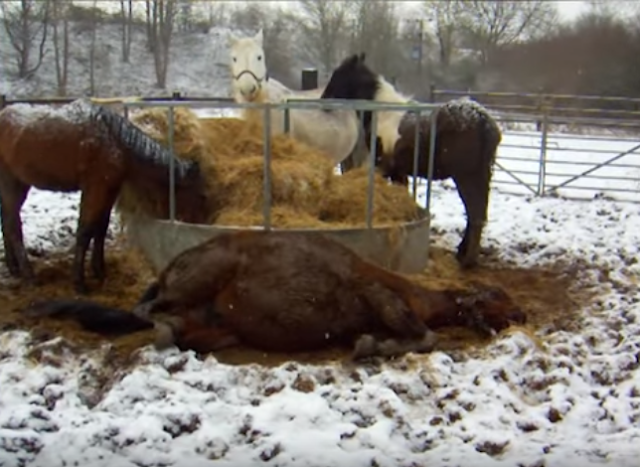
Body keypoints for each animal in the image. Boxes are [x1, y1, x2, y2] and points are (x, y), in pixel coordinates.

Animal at [0, 99, 209, 294]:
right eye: (200, 194)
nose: (199, 222)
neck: (115, 141)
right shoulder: (95, 189)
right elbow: (85, 232)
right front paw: (79, 282)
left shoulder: (109, 190)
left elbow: (101, 228)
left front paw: (99, 271)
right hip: (11, 183)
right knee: (13, 226)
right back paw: (28, 275)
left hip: (20, 185)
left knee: (7, 221)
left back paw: (14, 268)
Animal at [23, 230, 524, 358]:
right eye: (496, 296)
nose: (521, 315)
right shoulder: (382, 298)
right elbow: (424, 337)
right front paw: (371, 345)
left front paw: (370, 343)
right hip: (200, 276)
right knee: (145, 309)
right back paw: (161, 327)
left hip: (222, 329)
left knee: (172, 322)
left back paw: (173, 332)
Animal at [320, 53, 500, 268]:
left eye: (339, 74)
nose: (323, 102)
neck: (383, 114)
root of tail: (483, 120)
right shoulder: (399, 172)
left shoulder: (383, 167)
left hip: (466, 176)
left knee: (475, 213)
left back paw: (467, 260)